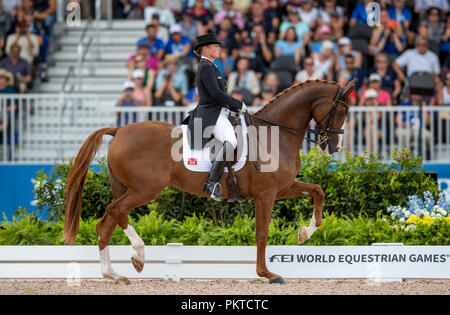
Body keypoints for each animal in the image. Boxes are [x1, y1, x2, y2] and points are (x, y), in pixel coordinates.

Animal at [62, 79, 356, 286]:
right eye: (341, 110)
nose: (335, 146)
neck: (275, 133)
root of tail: (119, 130)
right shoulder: (266, 194)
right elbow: (262, 234)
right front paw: (267, 274)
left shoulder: (282, 188)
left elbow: (318, 191)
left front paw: (305, 232)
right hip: (145, 189)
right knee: (113, 213)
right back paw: (132, 259)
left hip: (129, 188)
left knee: (110, 220)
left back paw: (120, 270)